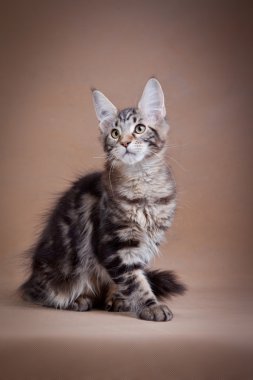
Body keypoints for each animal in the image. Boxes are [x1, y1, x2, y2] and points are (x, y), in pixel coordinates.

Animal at [20, 78, 186, 322]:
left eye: (139, 128)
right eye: (115, 133)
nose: (125, 142)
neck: (142, 182)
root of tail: (30, 280)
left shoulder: (144, 245)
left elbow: (131, 279)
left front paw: (120, 299)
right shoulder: (116, 244)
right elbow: (135, 280)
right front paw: (151, 306)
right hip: (60, 275)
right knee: (48, 294)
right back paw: (77, 300)